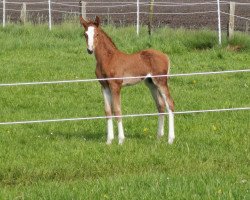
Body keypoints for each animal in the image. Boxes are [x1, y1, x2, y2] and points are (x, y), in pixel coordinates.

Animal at [79, 15, 174, 144]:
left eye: (97, 34)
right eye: (85, 34)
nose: (90, 50)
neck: (108, 59)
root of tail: (165, 56)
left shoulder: (116, 85)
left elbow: (117, 110)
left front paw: (120, 140)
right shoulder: (104, 86)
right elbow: (108, 111)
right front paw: (109, 141)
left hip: (161, 82)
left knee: (170, 104)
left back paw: (170, 139)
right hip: (151, 84)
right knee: (161, 105)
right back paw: (159, 137)